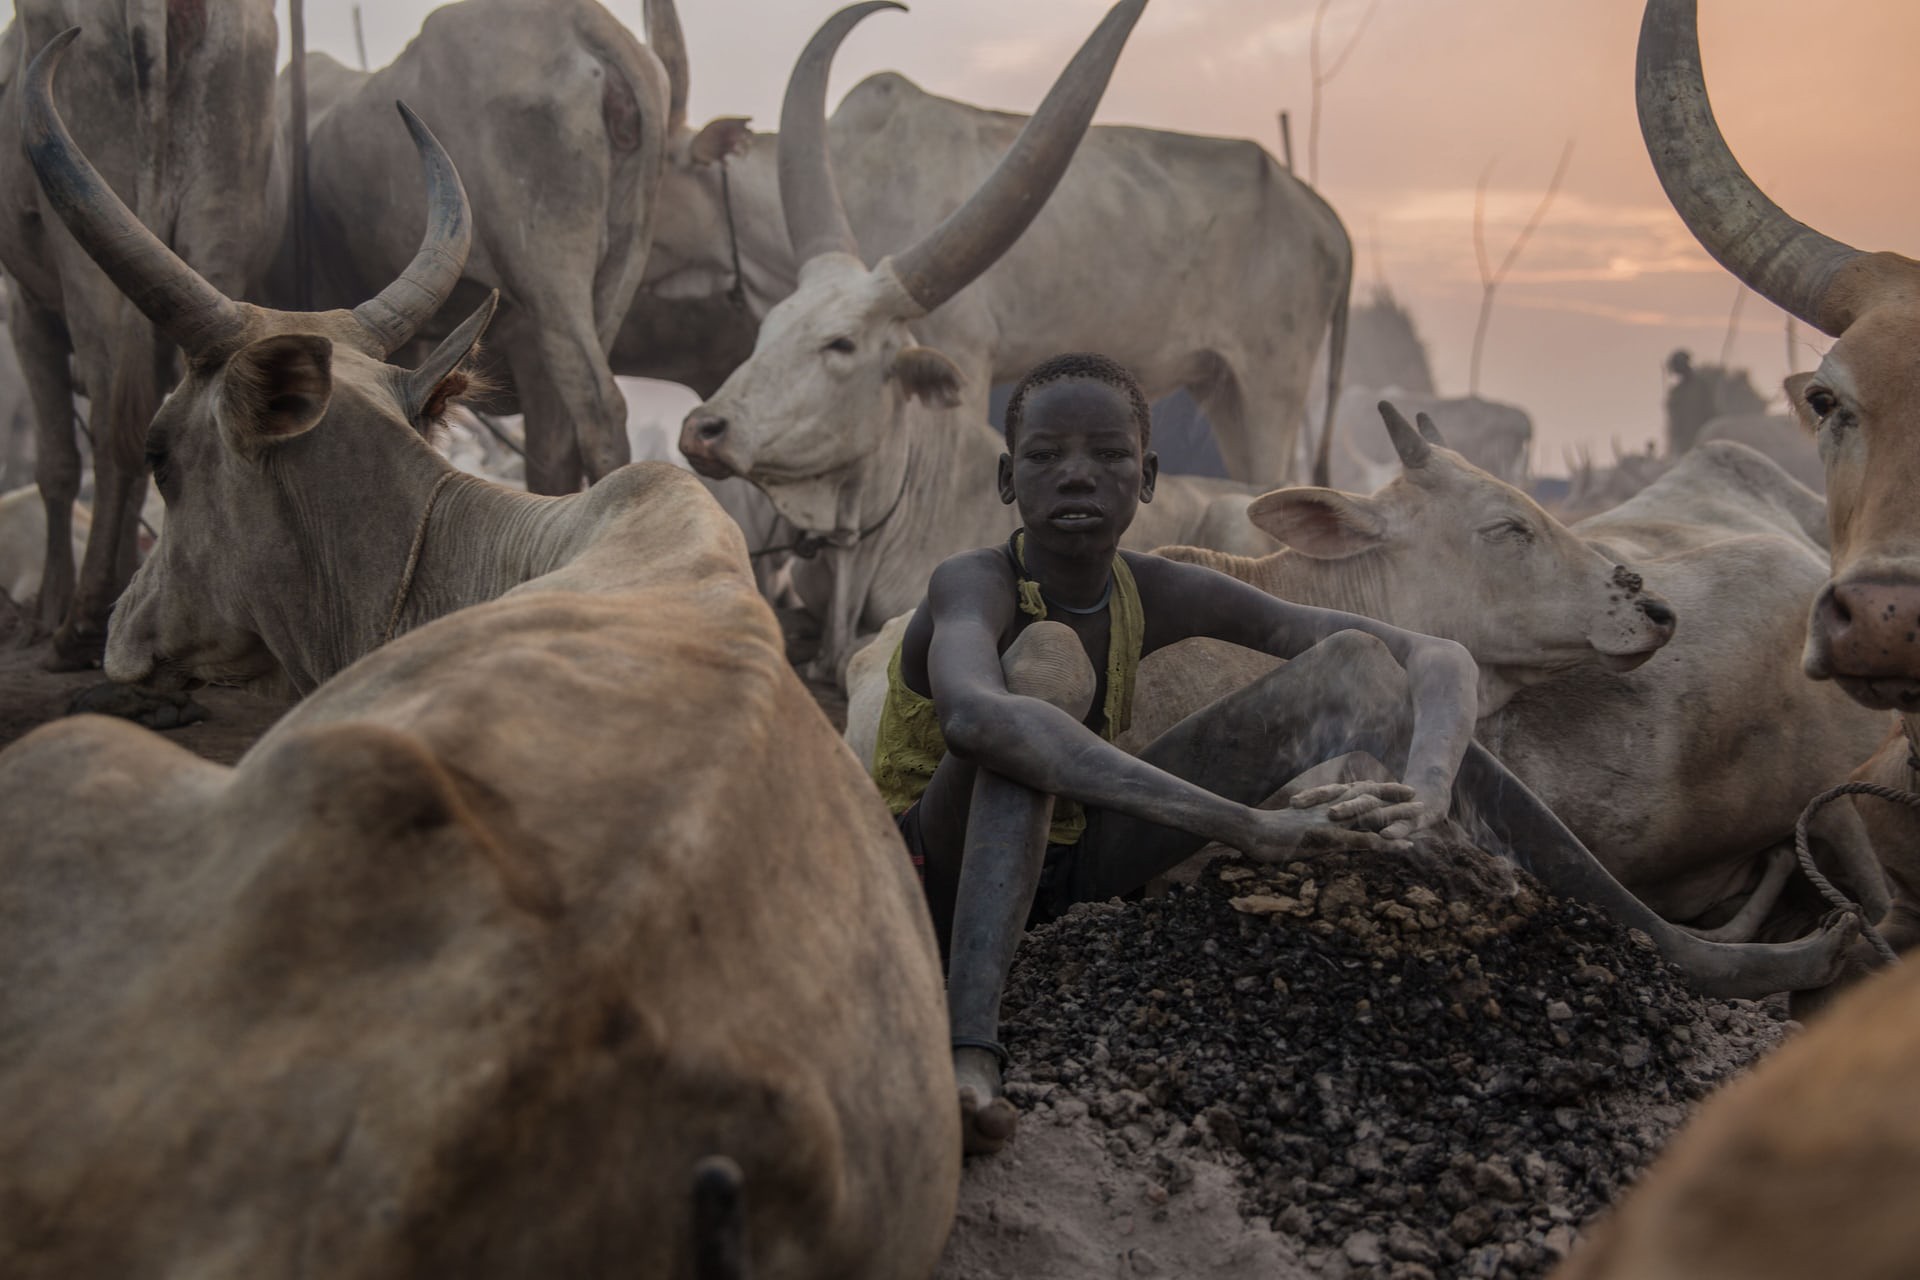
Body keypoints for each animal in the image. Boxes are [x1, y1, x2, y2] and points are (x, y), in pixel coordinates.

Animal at [0, 7, 280, 671]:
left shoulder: (26, 311)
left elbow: (57, 464)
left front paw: (50, 607)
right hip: (217, 219)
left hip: (91, 248)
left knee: (110, 433)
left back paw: (78, 623)